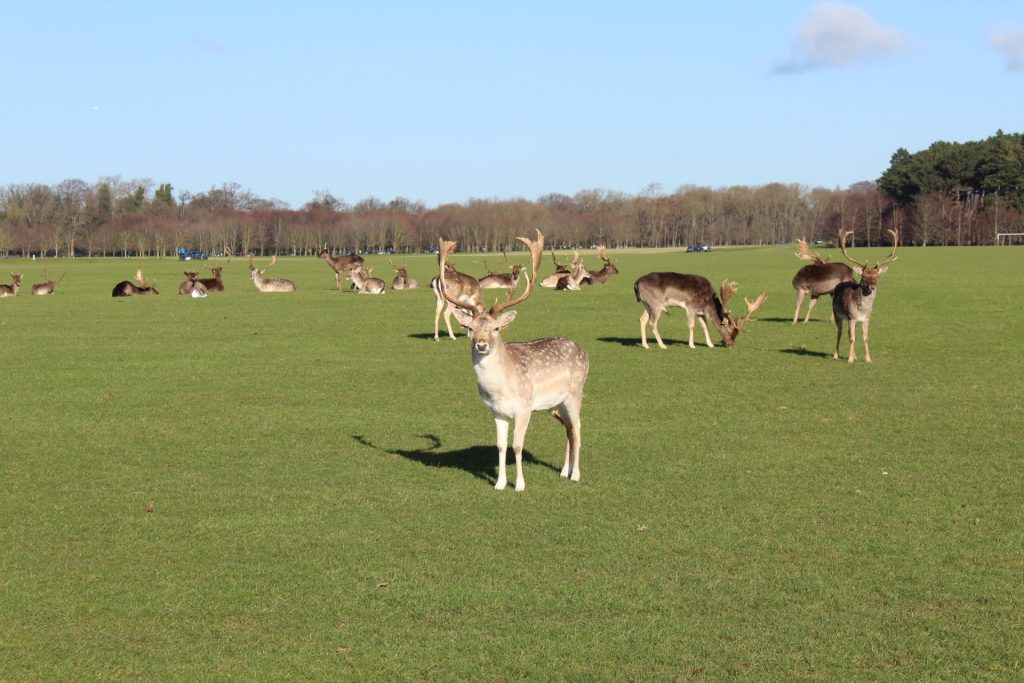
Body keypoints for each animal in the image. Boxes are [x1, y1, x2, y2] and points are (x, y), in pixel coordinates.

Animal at [436, 229, 589, 491]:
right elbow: (500, 445)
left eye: (496, 328)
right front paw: (499, 483)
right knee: (569, 428)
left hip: (575, 393)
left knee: (578, 428)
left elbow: (517, 445)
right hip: (556, 403)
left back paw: (576, 474)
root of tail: (584, 352)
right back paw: (563, 471)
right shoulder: (496, 412)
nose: (481, 344)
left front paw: (519, 485)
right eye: (470, 329)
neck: (500, 390)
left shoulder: (524, 407)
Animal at [630, 272, 770, 350]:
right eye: (730, 331)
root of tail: (636, 283)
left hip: (647, 304)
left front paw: (710, 344)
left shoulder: (700, 312)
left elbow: (705, 326)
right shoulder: (690, 307)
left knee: (642, 319)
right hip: (656, 304)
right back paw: (663, 345)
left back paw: (645, 345)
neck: (707, 303)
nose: (731, 345)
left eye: (737, 334)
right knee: (652, 322)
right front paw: (692, 345)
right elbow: (692, 326)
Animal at [831, 227, 897, 362]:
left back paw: (855, 355)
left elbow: (865, 338)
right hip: (837, 314)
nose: (872, 286)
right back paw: (836, 354)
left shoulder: (866, 319)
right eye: (864, 276)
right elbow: (852, 338)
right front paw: (850, 360)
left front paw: (868, 359)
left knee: (848, 332)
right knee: (839, 332)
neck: (862, 309)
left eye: (876, 276)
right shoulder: (851, 317)